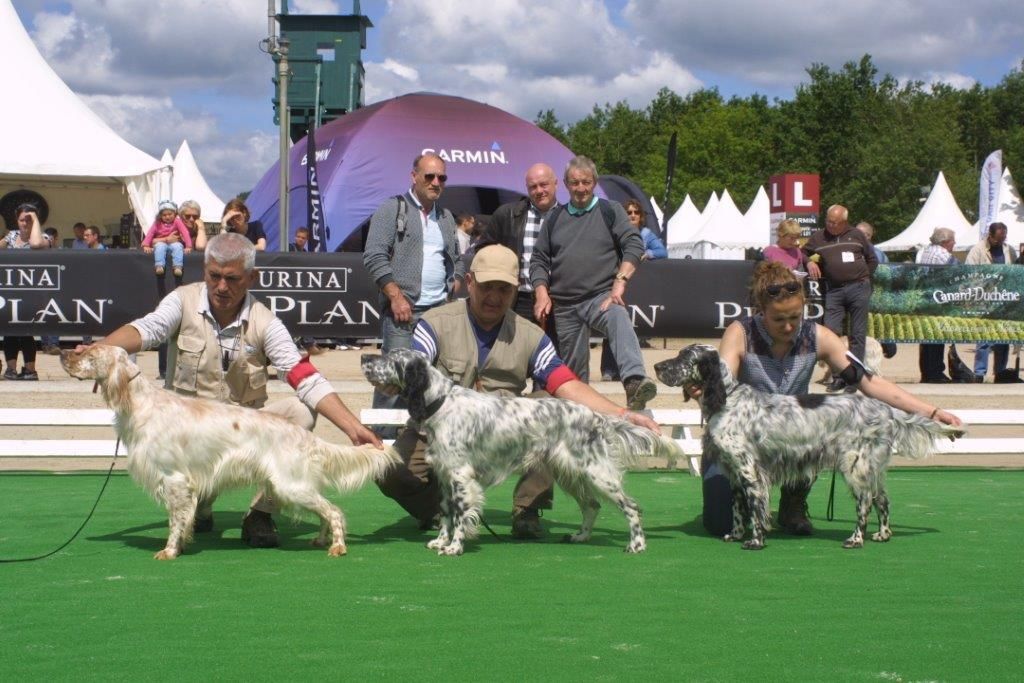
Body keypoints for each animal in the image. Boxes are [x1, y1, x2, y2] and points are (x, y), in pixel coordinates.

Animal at [58, 348, 397, 561]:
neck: (141, 403)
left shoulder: (174, 479)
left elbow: (175, 521)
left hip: (291, 486)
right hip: (291, 487)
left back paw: (337, 547)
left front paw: (169, 551)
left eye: (87, 354)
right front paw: (182, 545)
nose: (62, 353)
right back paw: (320, 539)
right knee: (327, 510)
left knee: (334, 511)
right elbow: (183, 519)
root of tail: (303, 436)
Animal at [360, 352, 679, 557]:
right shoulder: (445, 475)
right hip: (571, 473)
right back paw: (581, 536)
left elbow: (461, 514)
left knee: (631, 507)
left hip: (597, 473)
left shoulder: (461, 476)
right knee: (591, 506)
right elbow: (448, 512)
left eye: (391, 358)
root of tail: (595, 417)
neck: (441, 403)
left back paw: (636, 545)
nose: (364, 357)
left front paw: (454, 547)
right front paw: (440, 541)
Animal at [651, 348, 962, 548]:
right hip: (871, 467)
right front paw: (735, 535)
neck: (728, 399)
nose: (656, 367)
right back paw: (882, 535)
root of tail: (886, 411)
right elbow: (739, 509)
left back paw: (855, 539)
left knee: (864, 503)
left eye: (684, 357)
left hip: (854, 465)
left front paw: (756, 540)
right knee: (882, 500)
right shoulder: (735, 474)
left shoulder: (750, 471)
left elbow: (756, 508)